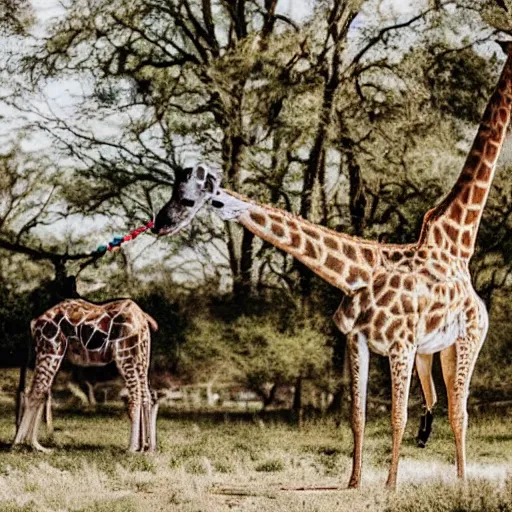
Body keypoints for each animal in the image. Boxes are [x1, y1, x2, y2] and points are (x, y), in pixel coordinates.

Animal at [154, 45, 512, 488]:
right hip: (439, 350)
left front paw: (390, 486)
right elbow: (358, 416)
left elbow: (397, 416)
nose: (160, 223)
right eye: (172, 194)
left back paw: (461, 482)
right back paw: (453, 473)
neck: (357, 273)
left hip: (468, 341)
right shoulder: (357, 341)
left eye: (188, 200)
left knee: (459, 411)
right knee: (446, 406)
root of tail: (476, 298)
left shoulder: (400, 345)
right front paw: (355, 482)